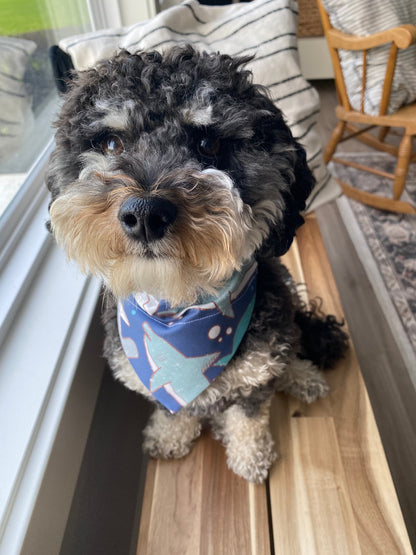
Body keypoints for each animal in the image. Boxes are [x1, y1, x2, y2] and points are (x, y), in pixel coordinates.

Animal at [46, 46, 348, 482]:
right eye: (111, 143)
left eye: (208, 142)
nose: (145, 213)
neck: (182, 309)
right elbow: (172, 408)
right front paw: (169, 434)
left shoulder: (255, 375)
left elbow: (248, 417)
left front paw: (250, 456)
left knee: (289, 348)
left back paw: (301, 375)